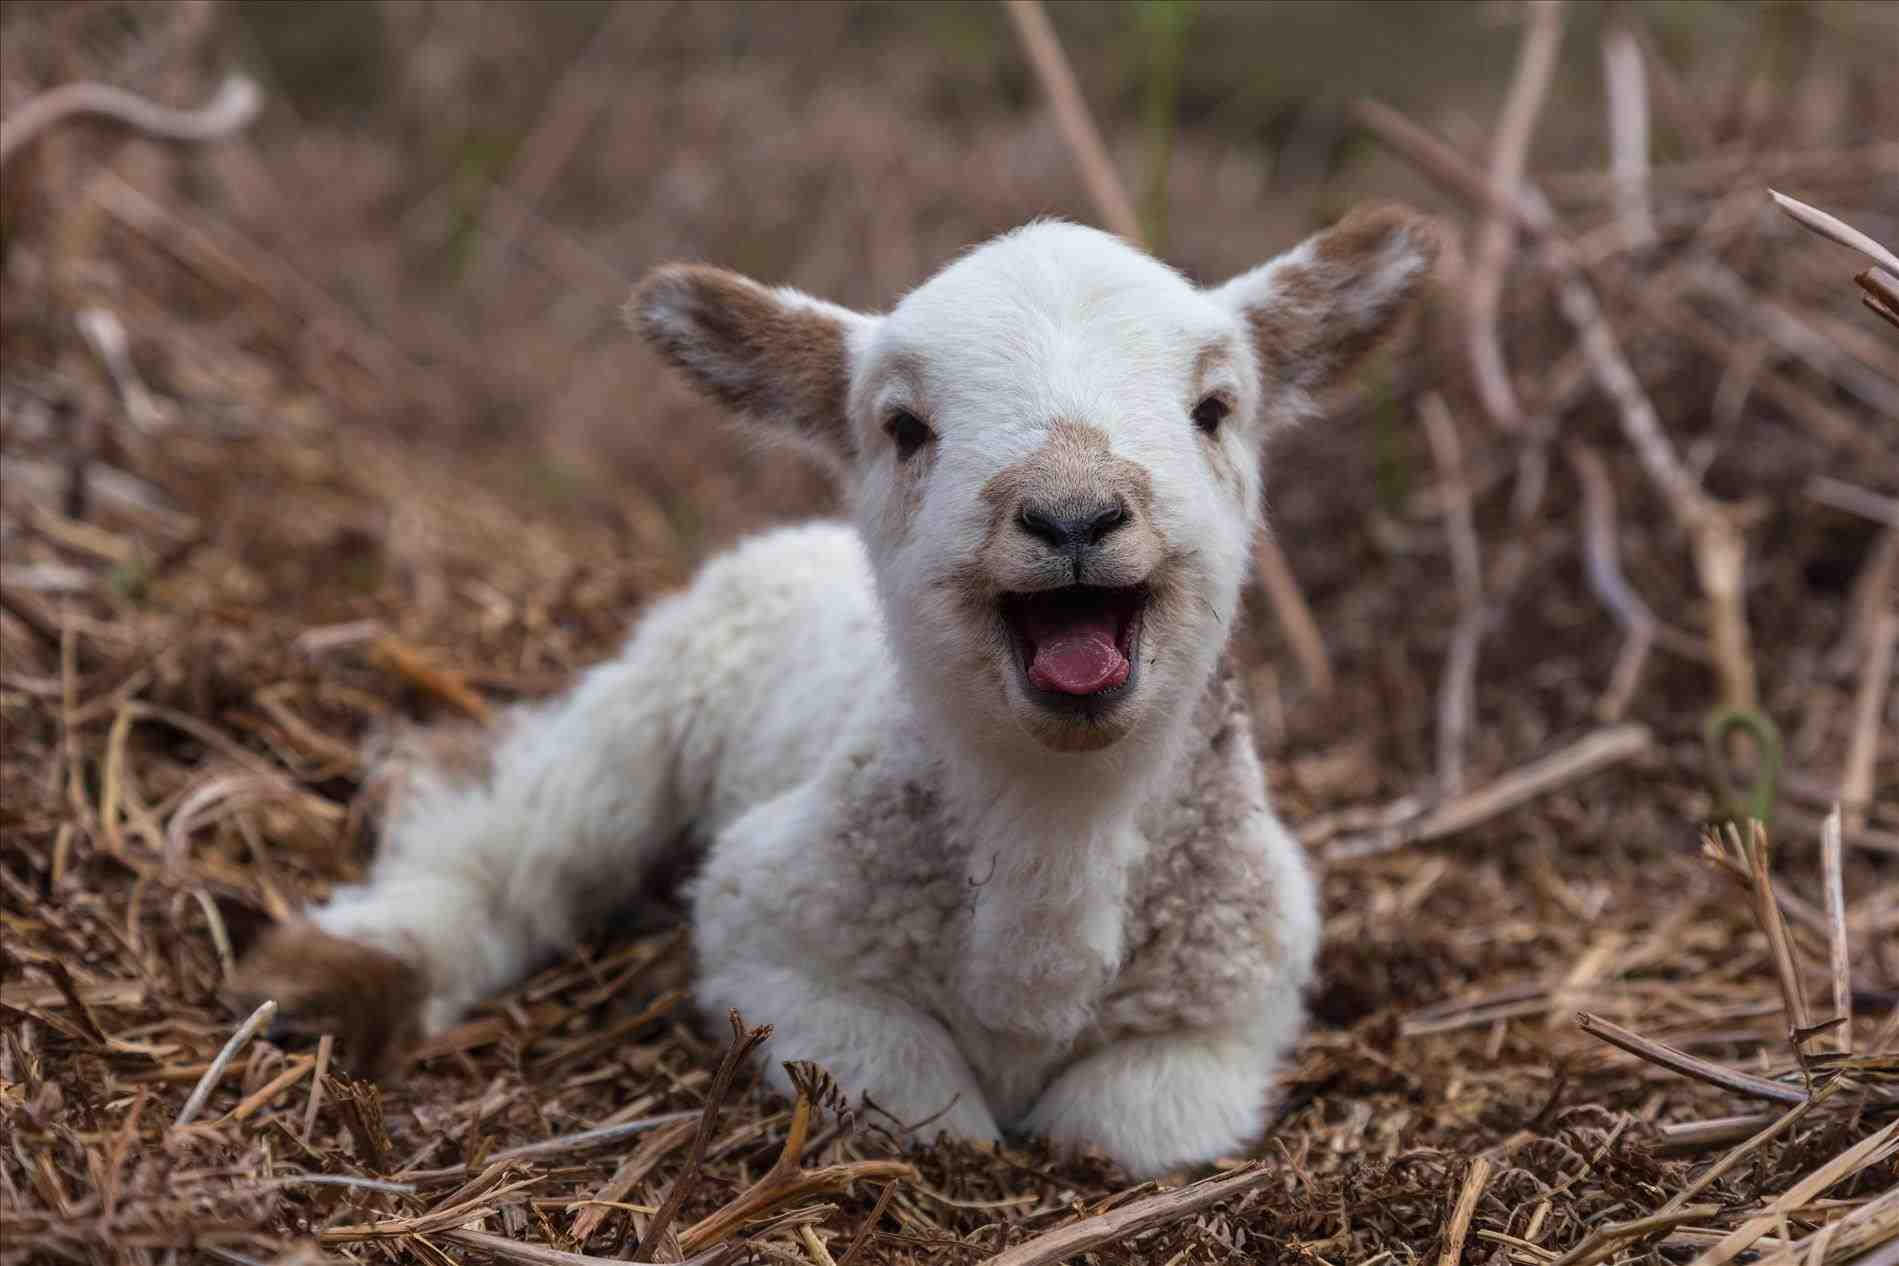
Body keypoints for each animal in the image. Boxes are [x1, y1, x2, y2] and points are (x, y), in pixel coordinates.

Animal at [235, 206, 1439, 1178]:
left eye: (1215, 408)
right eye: (903, 428)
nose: (1073, 516)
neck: (1058, 822)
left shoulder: (1238, 1000)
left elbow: (1121, 1127)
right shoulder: (771, 938)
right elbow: (922, 1103)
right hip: (665, 687)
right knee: (520, 828)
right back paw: (346, 969)